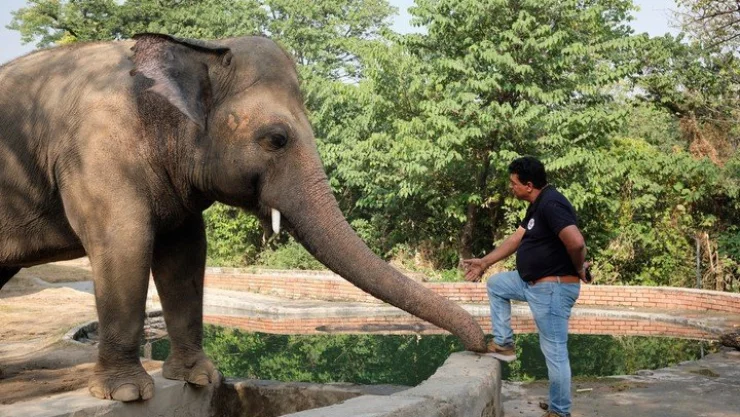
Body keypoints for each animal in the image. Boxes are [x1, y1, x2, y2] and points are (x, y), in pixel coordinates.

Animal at [0, 34, 487, 402]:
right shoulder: (95, 152)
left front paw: (201, 378)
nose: (485, 345)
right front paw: (127, 394)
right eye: (276, 139)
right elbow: (125, 241)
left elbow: (186, 251)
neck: (195, 50)